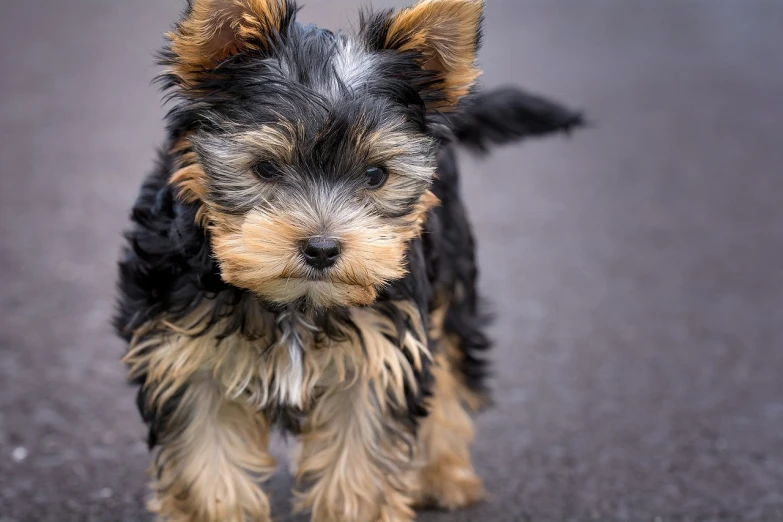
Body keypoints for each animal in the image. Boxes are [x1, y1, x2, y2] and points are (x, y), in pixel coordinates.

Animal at [115, 0, 580, 516]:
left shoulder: (379, 359)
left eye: (376, 175)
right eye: (265, 168)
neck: (296, 303)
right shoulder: (189, 360)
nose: (321, 248)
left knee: (451, 368)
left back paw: (443, 475)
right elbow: (207, 469)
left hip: (452, 274)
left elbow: (359, 470)